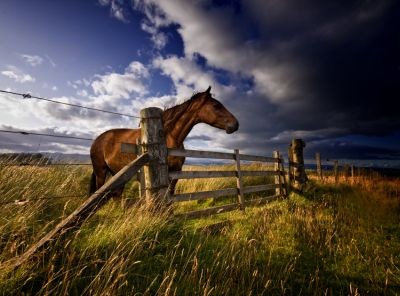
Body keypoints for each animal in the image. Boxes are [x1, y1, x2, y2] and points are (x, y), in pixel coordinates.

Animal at [89, 85, 239, 197]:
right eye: (216, 105)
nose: (235, 124)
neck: (170, 136)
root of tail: (98, 139)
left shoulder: (176, 172)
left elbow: (171, 194)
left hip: (118, 174)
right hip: (101, 172)